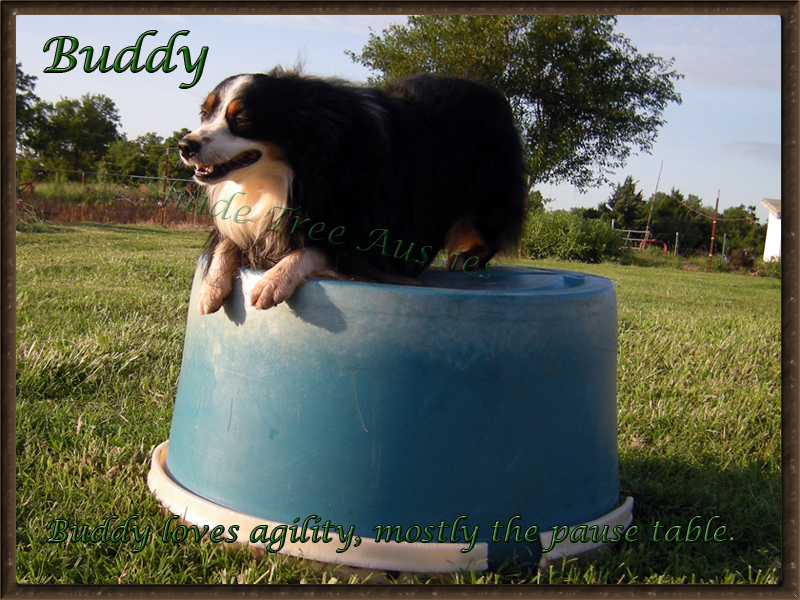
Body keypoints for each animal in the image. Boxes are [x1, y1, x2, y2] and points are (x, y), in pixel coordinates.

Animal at [182, 68, 532, 314]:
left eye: (242, 119)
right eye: (204, 114)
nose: (186, 145)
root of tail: (491, 93)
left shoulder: (366, 235)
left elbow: (314, 249)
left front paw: (273, 281)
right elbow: (227, 244)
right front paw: (210, 288)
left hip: (488, 195)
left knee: (487, 229)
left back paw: (467, 258)